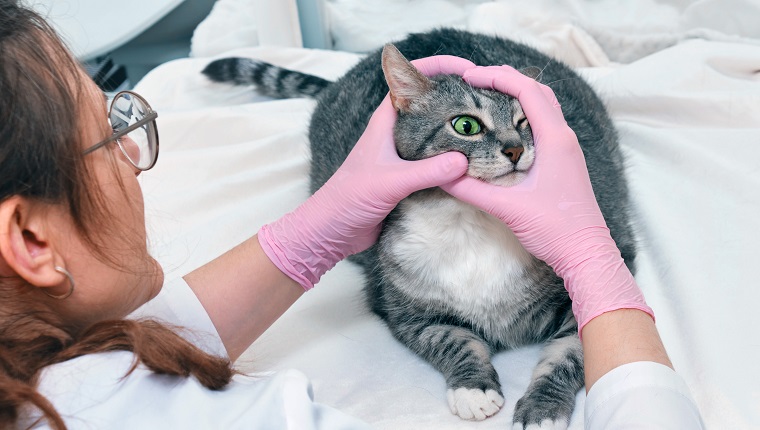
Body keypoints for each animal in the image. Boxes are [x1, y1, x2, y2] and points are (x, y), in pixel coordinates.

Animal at [203, 28, 636, 428]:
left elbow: (570, 354)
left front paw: (542, 408)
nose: (515, 149)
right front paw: (474, 389)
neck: (472, 222)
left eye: (526, 121)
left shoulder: (587, 292)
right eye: (466, 125)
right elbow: (452, 341)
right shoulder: (405, 310)